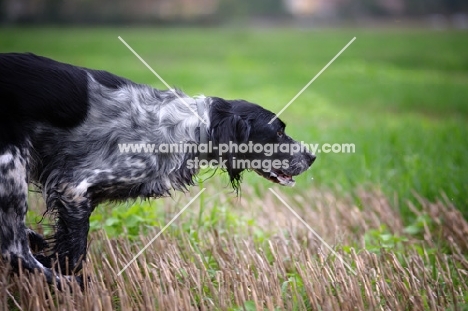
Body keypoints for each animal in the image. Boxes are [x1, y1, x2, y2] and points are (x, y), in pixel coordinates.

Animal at [0, 53, 314, 286]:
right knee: (15, 251)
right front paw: (61, 269)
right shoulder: (74, 187)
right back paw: (69, 284)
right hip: (10, 167)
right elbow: (74, 253)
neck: (194, 128)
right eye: (278, 132)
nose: (312, 156)